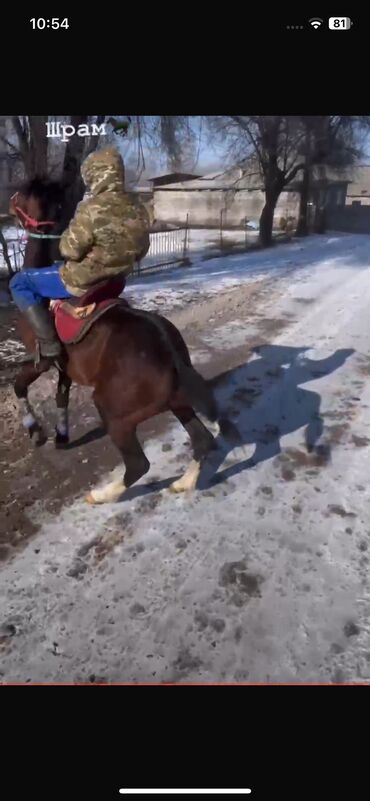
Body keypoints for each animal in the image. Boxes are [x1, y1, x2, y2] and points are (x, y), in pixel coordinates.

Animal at [12, 180, 240, 500]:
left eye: (22, 194)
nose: (8, 205)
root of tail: (170, 352)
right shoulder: (65, 367)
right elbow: (61, 397)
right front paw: (61, 434)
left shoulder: (41, 361)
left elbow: (18, 386)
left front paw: (36, 431)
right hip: (178, 403)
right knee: (203, 440)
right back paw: (183, 483)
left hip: (114, 413)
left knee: (138, 464)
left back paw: (101, 495)